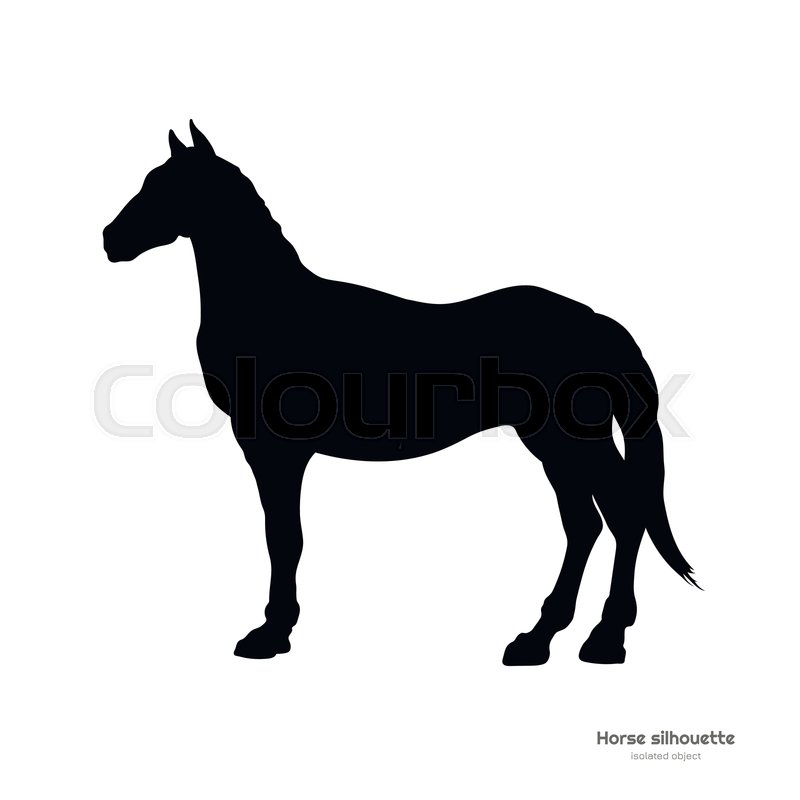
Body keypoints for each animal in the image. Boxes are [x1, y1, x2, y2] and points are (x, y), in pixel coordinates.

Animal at [103, 121, 697, 665]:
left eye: (169, 187)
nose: (111, 240)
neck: (273, 305)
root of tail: (596, 322)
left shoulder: (276, 451)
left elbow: (284, 538)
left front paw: (270, 634)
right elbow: (284, 537)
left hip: (573, 440)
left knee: (622, 515)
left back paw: (606, 639)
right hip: (552, 443)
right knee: (585, 524)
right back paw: (537, 639)